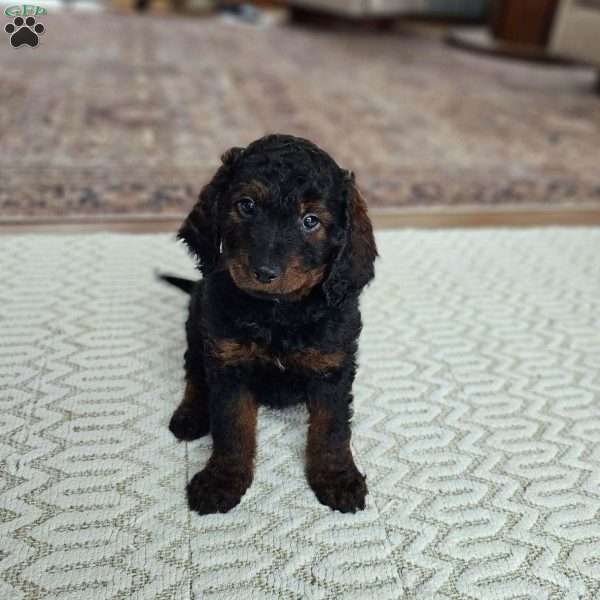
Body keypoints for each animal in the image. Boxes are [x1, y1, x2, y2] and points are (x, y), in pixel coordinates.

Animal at [161, 134, 376, 512]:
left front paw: (337, 477)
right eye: (246, 205)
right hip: (197, 325)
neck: (277, 315)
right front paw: (222, 479)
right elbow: (232, 426)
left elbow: (331, 427)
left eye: (310, 221)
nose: (264, 272)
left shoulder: (332, 367)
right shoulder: (229, 363)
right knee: (194, 372)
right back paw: (190, 415)